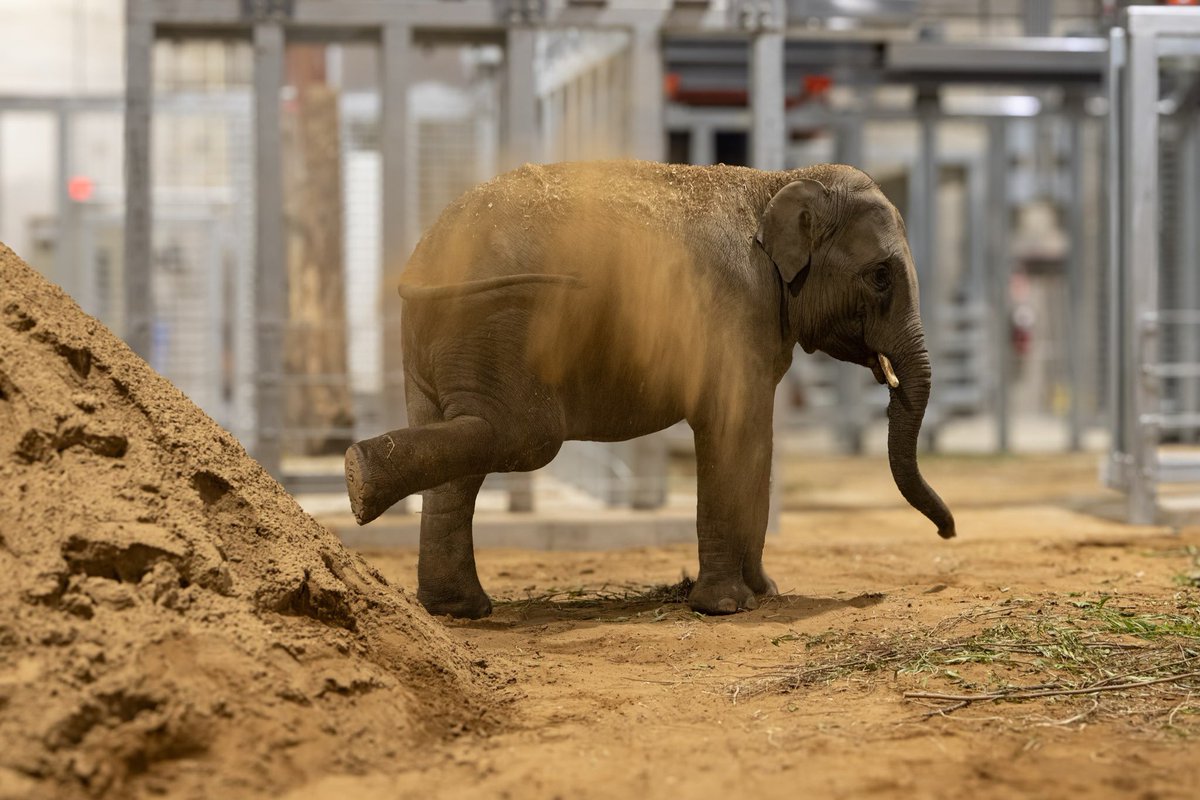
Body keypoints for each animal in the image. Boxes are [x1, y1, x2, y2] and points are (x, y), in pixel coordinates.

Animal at [344, 160, 956, 619]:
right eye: (881, 276)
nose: (948, 534)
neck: (778, 179)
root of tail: (424, 260)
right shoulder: (730, 313)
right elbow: (733, 431)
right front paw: (724, 607)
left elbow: (757, 441)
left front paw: (765, 593)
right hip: (497, 325)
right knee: (525, 436)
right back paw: (361, 478)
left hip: (438, 341)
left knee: (455, 448)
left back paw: (454, 606)